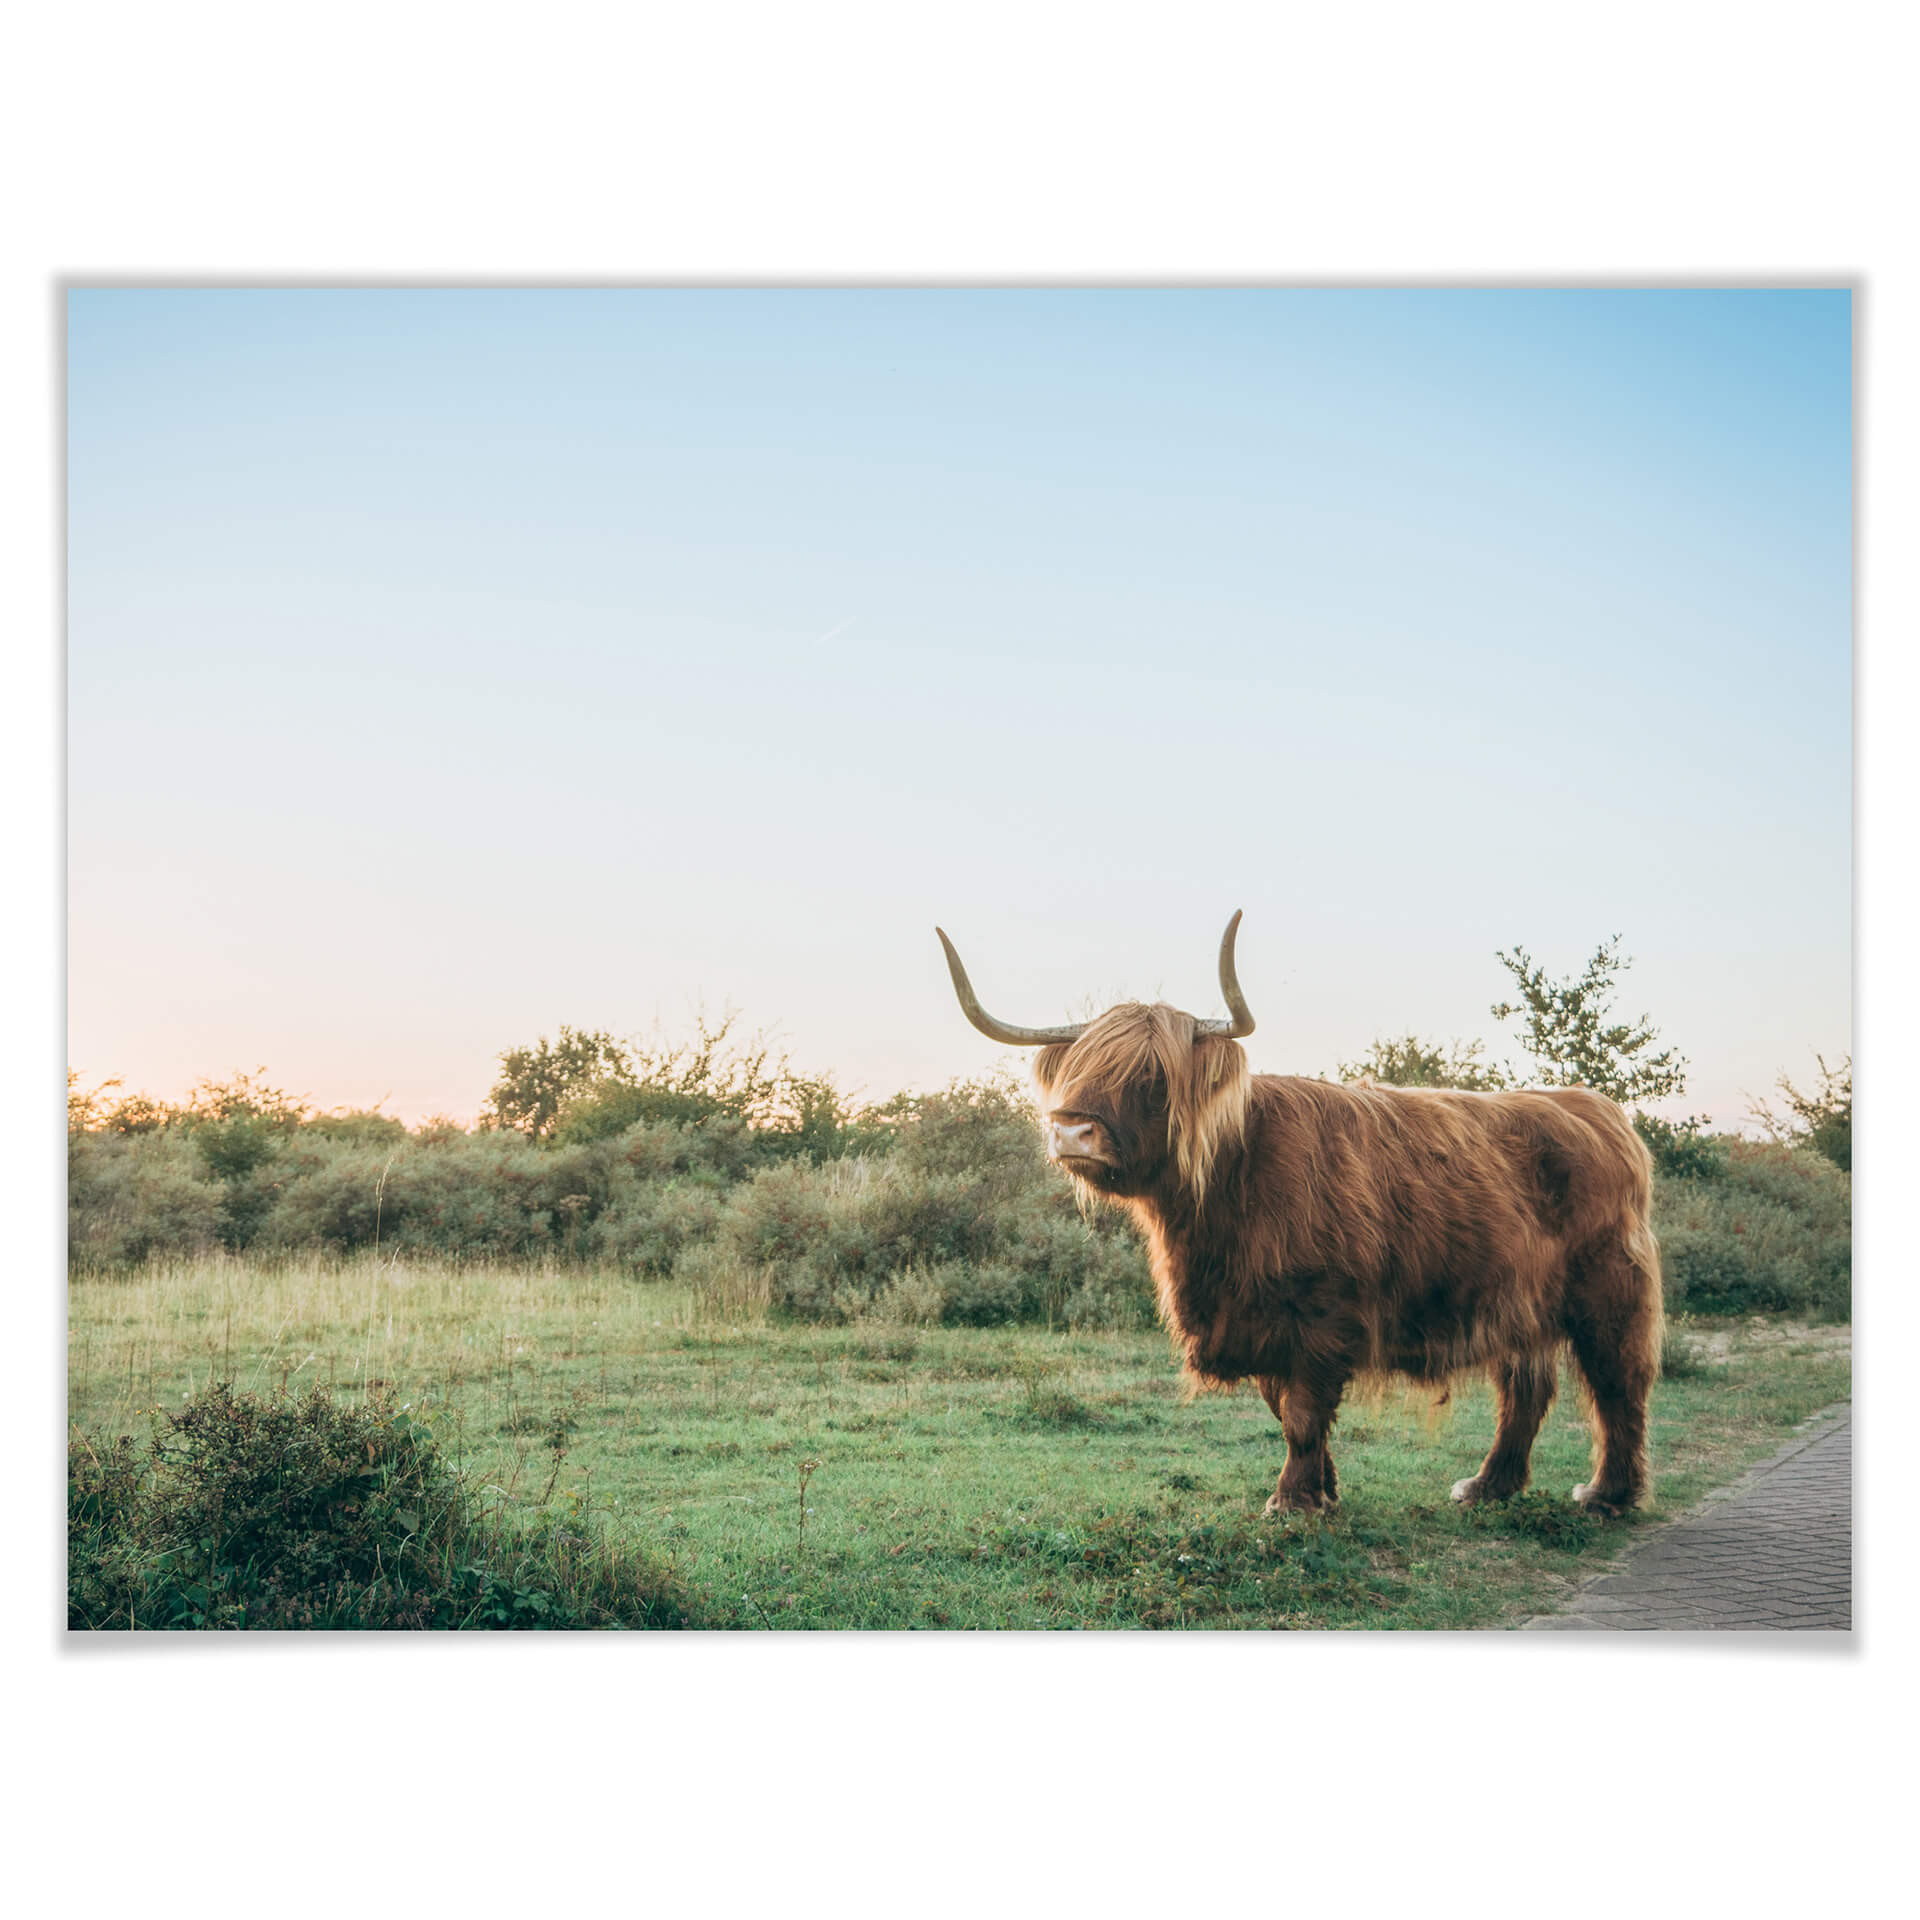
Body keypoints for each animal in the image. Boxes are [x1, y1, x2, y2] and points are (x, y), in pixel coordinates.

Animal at [935, 912, 1663, 1516]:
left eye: (1153, 1077)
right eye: (1077, 1067)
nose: (1070, 1131)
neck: (1228, 1188)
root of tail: (1591, 1107)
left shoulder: (1323, 1313)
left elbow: (1305, 1413)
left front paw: (1292, 1502)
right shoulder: (1256, 1317)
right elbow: (1283, 1407)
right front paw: (1324, 1490)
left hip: (1608, 1290)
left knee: (1618, 1383)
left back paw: (1608, 1495)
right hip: (1519, 1299)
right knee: (1526, 1390)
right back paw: (1488, 1486)